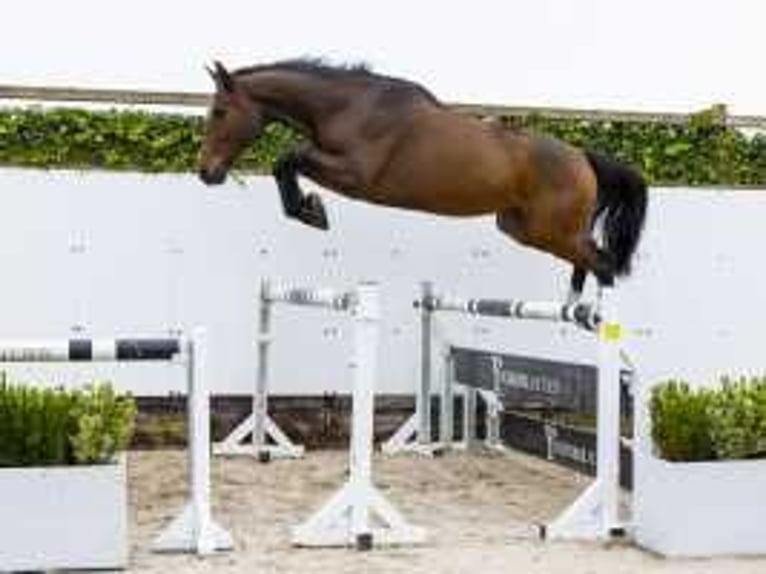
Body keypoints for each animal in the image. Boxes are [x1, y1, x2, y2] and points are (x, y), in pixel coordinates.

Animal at [198, 59, 648, 302]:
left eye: (219, 112)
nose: (206, 173)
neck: (349, 106)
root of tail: (582, 157)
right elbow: (286, 163)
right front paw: (310, 210)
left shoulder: (355, 175)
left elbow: (286, 159)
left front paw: (312, 211)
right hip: (521, 228)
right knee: (588, 259)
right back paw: (574, 308)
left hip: (549, 230)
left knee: (601, 261)